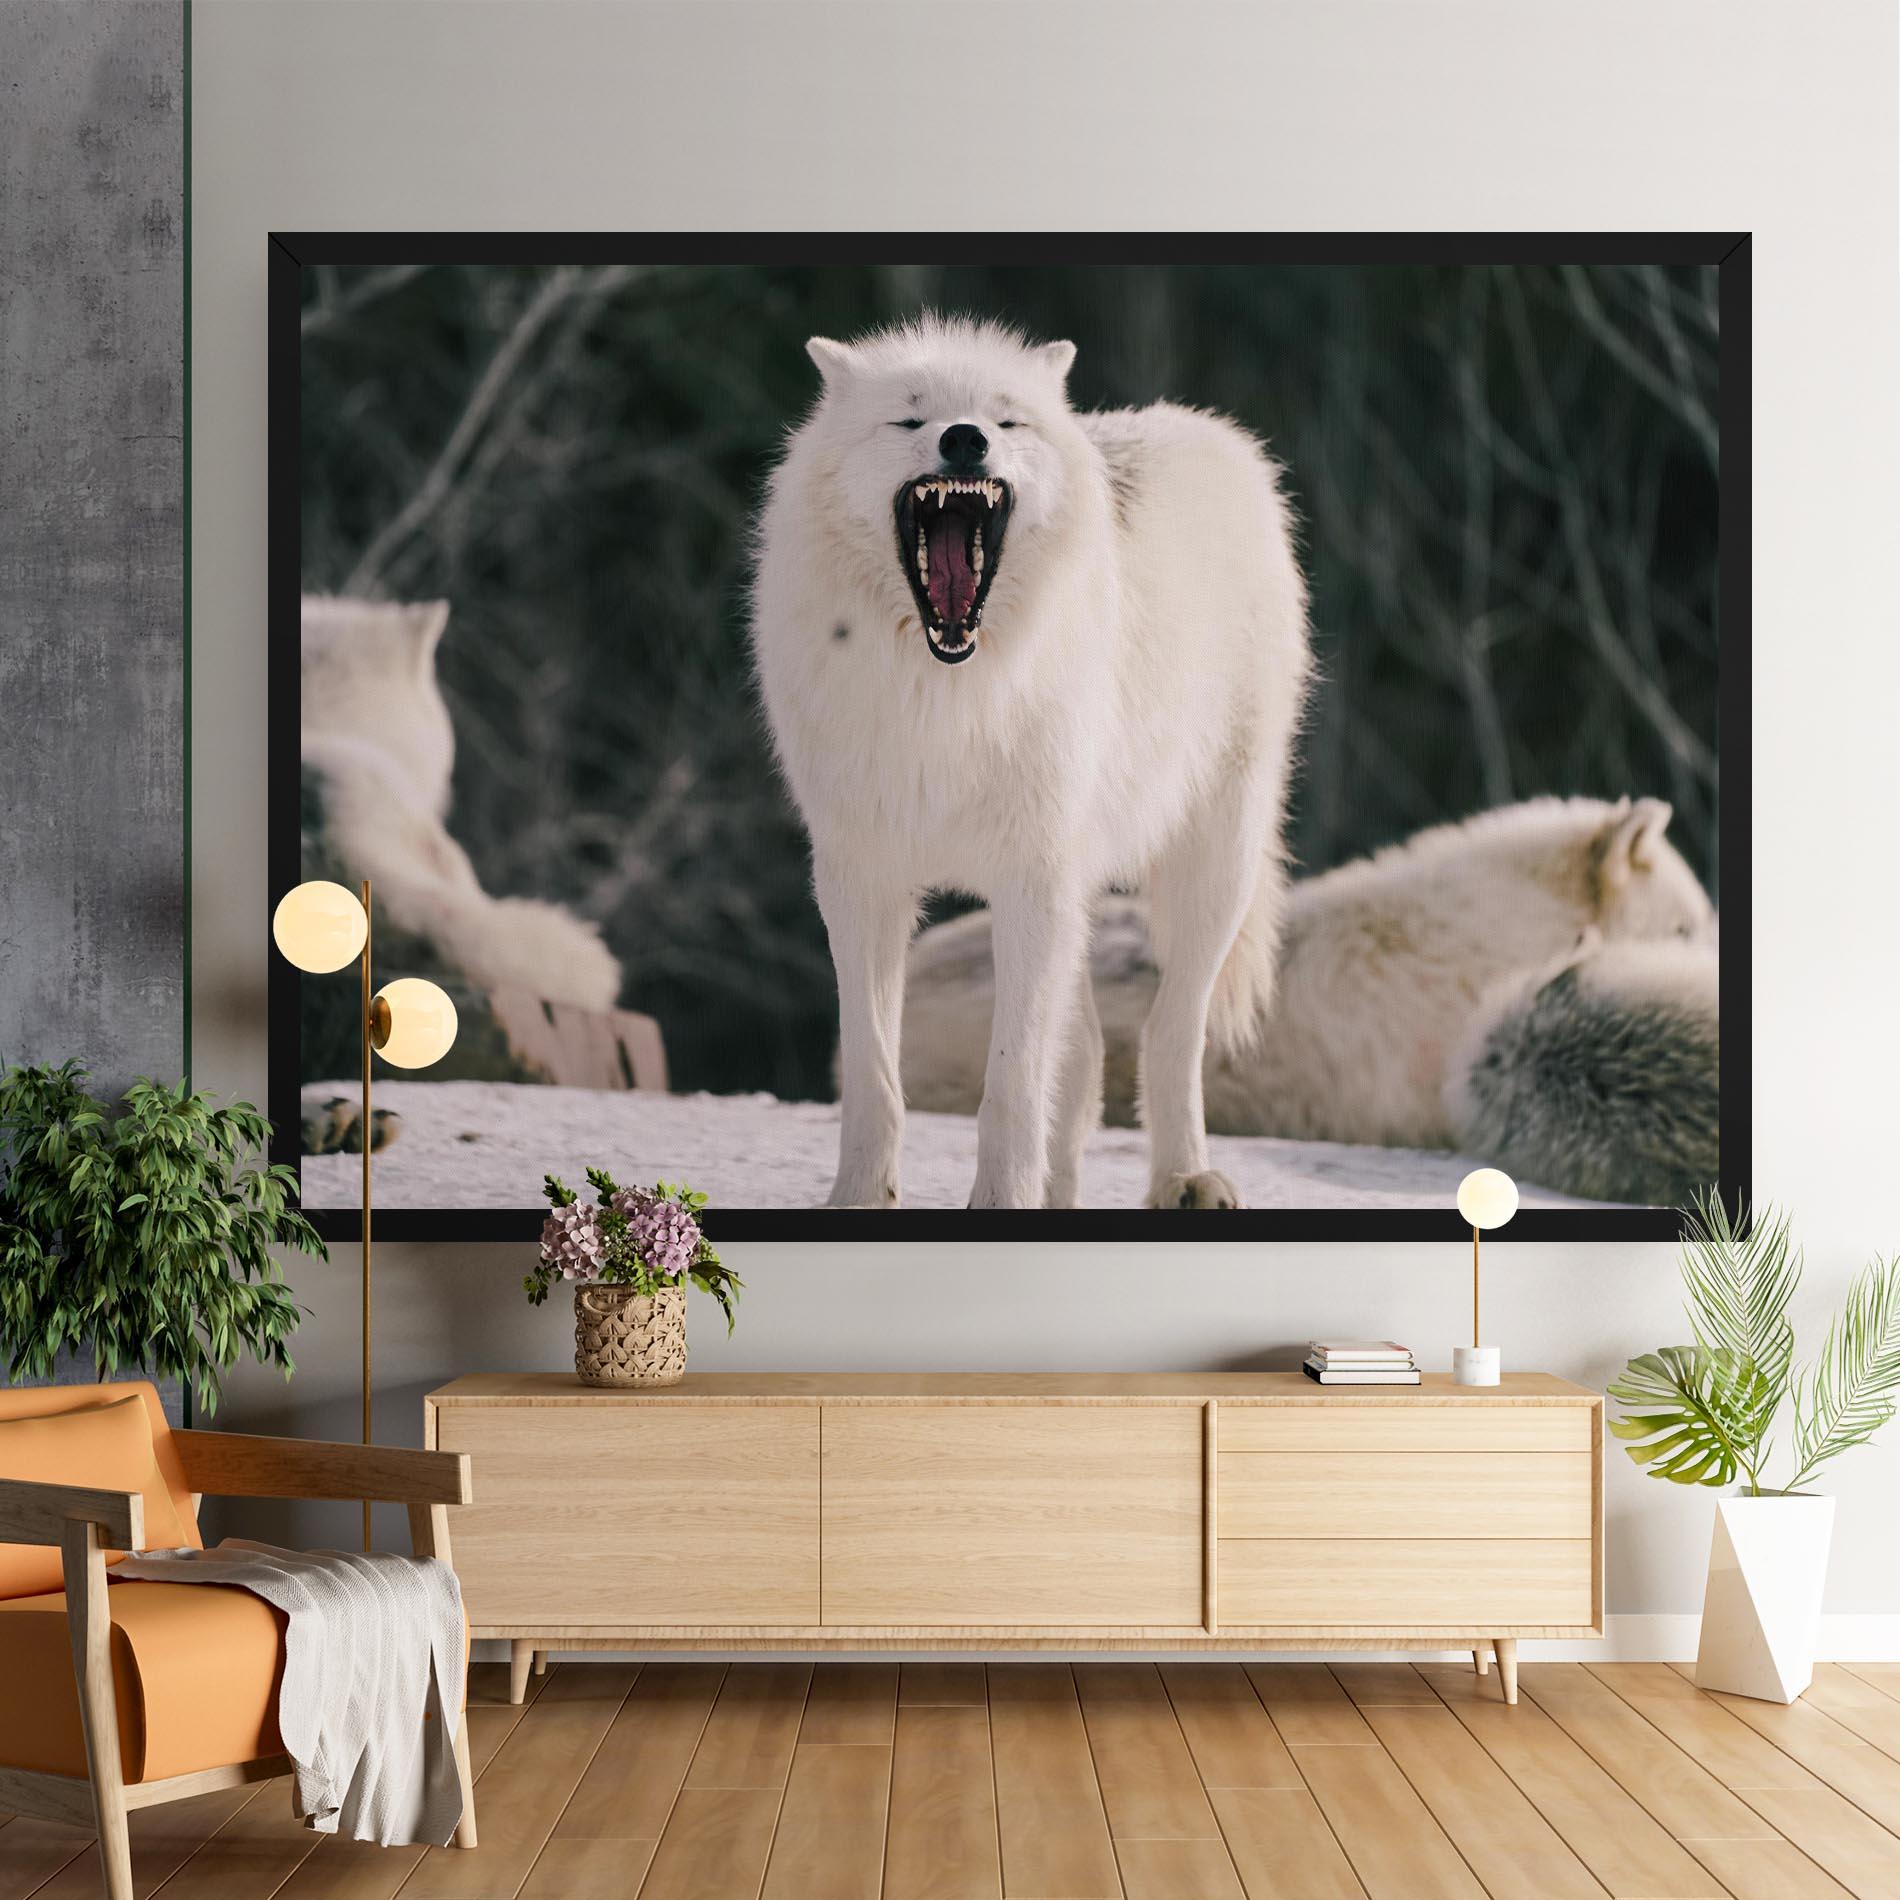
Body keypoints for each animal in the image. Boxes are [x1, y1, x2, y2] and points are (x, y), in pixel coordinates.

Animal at [750, 317, 1310, 1208]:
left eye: (1006, 421)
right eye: (910, 419)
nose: (965, 439)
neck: (947, 694)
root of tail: (1213, 433)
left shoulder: (1030, 880)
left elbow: (1010, 1083)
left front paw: (1000, 1202)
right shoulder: (860, 880)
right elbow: (875, 1076)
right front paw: (859, 1199)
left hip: (1211, 867)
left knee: (1170, 1032)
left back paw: (1185, 1176)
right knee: (1083, 1063)